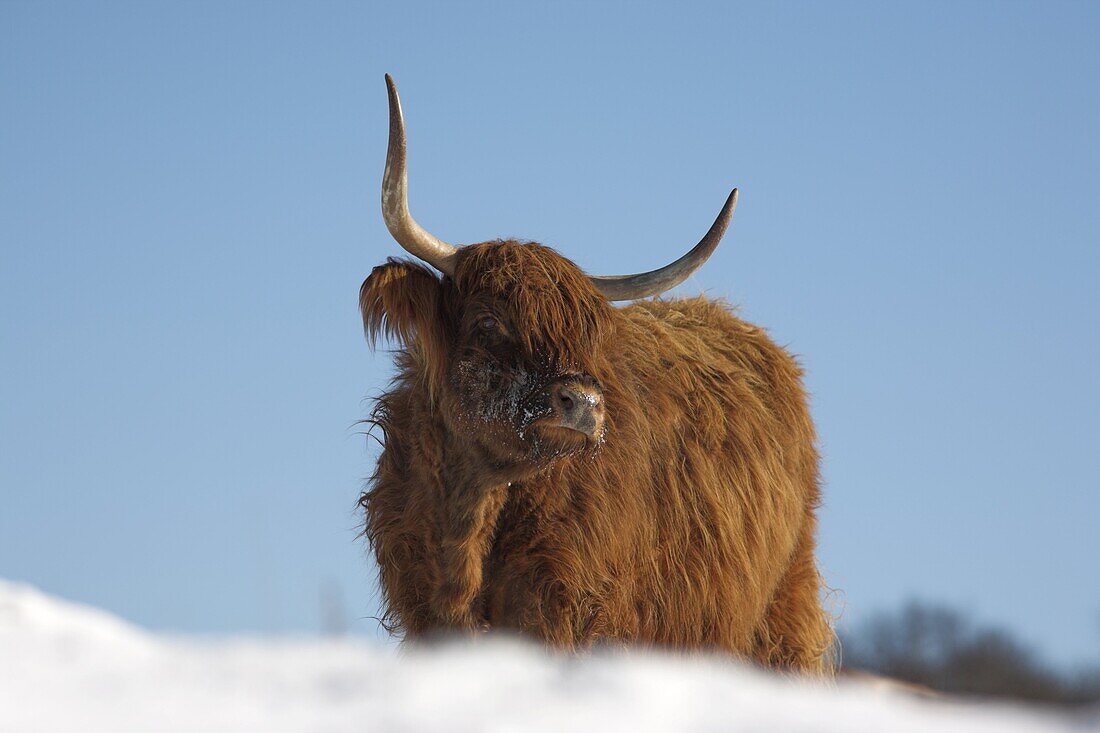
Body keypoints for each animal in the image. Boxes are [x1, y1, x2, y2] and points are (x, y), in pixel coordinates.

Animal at [360, 77, 831, 669]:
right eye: (488, 321)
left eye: (585, 336)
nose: (582, 403)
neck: (471, 509)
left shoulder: (568, 614)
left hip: (779, 618)